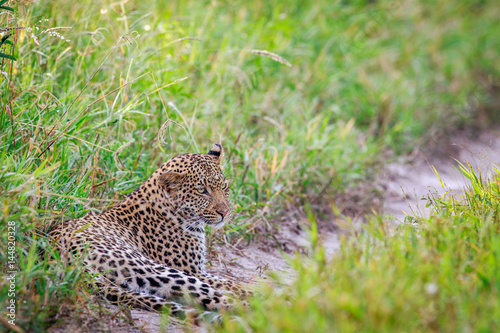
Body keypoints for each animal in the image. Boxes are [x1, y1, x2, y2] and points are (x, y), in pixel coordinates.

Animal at [49, 142, 249, 316]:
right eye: (202, 190)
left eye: (224, 187)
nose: (224, 212)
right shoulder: (193, 270)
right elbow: (228, 284)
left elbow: (227, 282)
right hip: (156, 269)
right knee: (218, 299)